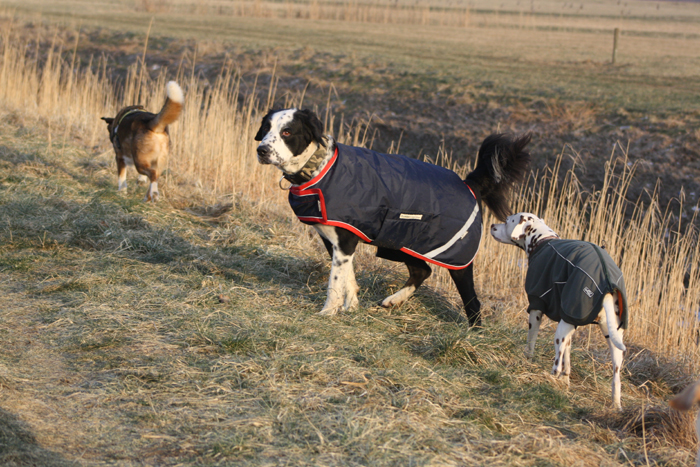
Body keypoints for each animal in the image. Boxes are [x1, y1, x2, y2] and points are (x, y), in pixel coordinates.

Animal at [254, 108, 530, 326]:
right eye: (265, 128)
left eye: (287, 132)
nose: (261, 150)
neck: (320, 166)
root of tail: (468, 183)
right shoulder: (337, 240)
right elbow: (348, 276)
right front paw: (351, 306)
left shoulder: (345, 240)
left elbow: (335, 280)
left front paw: (327, 312)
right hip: (400, 243)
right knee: (422, 270)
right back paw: (394, 300)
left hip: (456, 258)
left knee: (472, 301)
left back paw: (472, 334)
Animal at [490, 212, 628, 408]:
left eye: (508, 220)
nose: (492, 225)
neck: (542, 240)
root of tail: (607, 284)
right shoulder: (570, 321)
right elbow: (568, 360)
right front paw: (565, 382)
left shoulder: (536, 307)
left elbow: (531, 345)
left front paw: (527, 363)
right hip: (613, 339)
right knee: (616, 377)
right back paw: (615, 405)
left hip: (559, 332)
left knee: (556, 364)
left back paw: (547, 380)